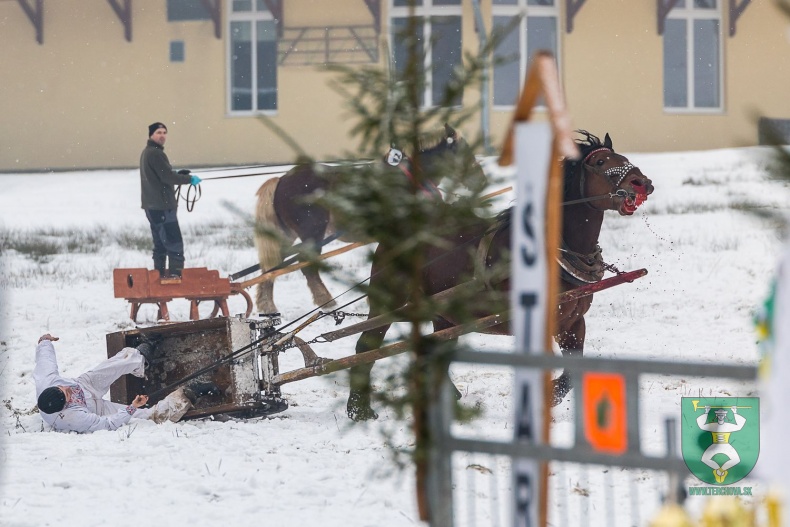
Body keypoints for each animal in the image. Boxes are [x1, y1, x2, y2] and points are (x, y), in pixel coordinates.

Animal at [256, 126, 486, 316]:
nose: (480, 179)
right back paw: (326, 302)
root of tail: (281, 180)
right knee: (306, 266)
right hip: (313, 232)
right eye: (463, 151)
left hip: (286, 235)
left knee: (272, 266)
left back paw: (268, 307)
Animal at [346, 131, 656, 420]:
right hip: (388, 301)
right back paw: (359, 409)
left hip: (445, 315)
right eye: (601, 162)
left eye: (623, 158)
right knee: (366, 346)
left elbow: (571, 373)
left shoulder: (572, 323)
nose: (642, 183)